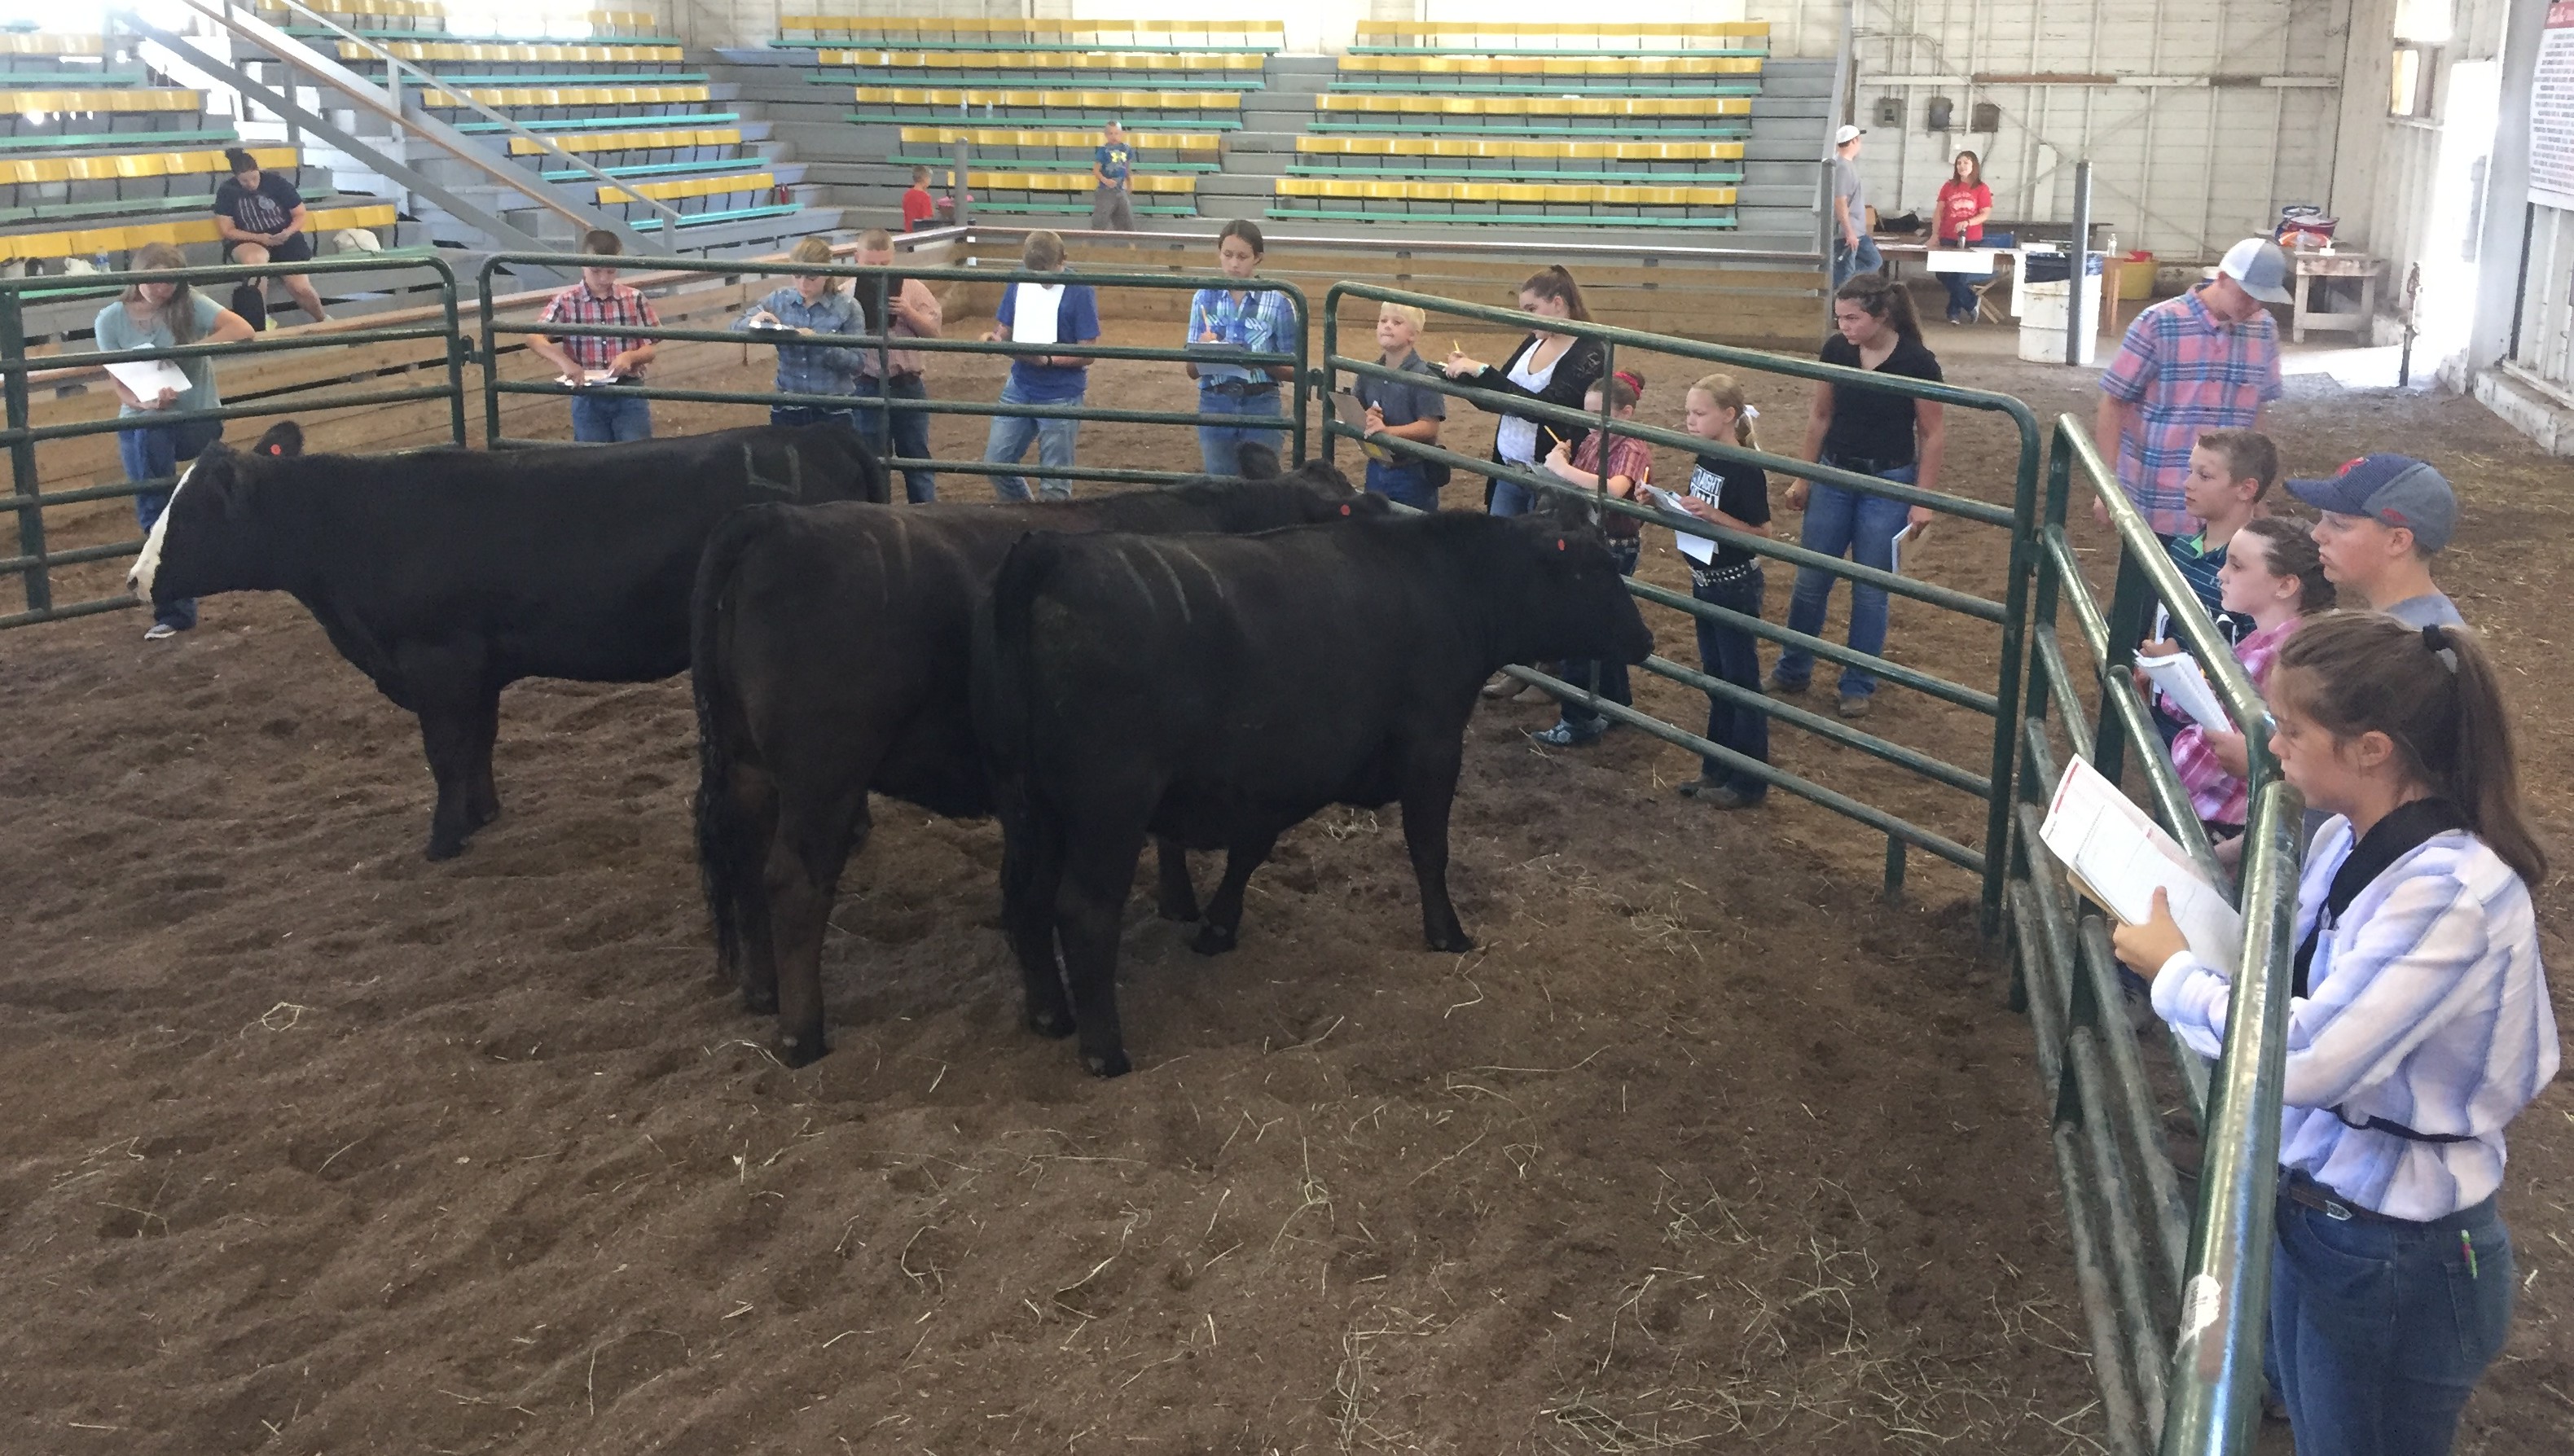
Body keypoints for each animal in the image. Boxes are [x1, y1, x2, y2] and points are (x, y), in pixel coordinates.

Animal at [125, 419, 890, 853]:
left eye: (187, 512)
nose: (134, 580)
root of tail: (826, 435)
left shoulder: (437, 660)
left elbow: (446, 750)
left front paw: (443, 839)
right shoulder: (475, 668)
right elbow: (479, 743)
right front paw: (482, 815)